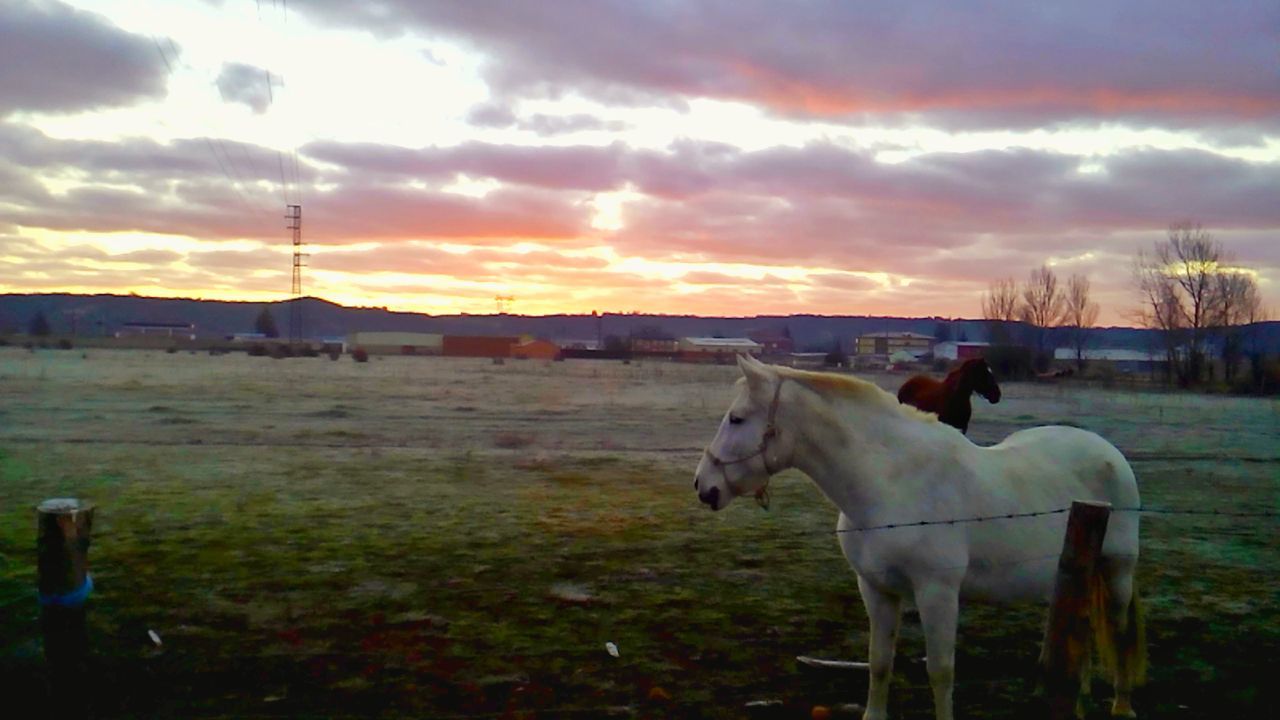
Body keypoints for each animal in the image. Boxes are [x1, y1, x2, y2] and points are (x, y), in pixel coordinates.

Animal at [696, 356, 1146, 717]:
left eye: (736, 418)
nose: (704, 486)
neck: (890, 483)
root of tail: (1109, 453)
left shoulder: (937, 593)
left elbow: (941, 672)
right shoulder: (876, 589)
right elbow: (880, 662)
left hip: (1117, 572)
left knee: (1122, 635)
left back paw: (1122, 707)